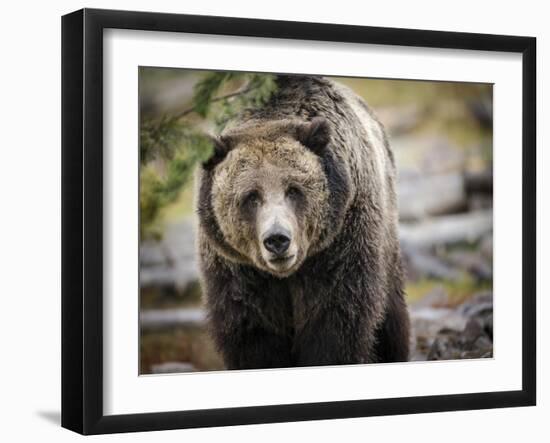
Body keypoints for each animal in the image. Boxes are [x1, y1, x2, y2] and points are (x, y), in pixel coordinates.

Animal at [197, 74, 410, 370]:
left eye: (294, 189)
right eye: (251, 196)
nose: (277, 239)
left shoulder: (340, 245)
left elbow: (335, 322)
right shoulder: (238, 270)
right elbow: (252, 333)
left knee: (391, 319)